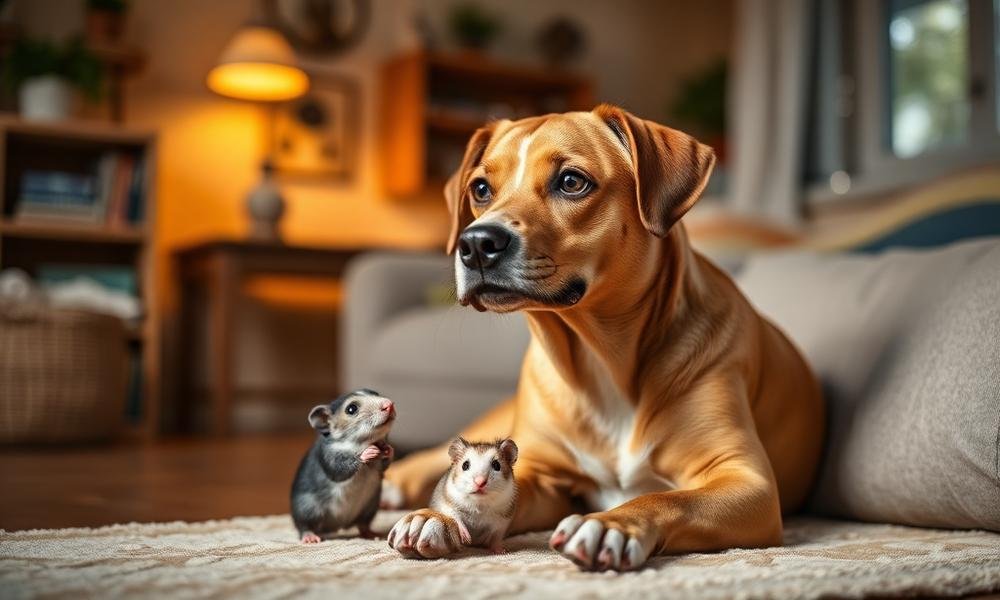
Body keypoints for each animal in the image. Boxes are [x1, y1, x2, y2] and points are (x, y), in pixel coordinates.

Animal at [290, 389, 395, 543]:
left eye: (376, 393)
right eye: (351, 409)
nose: (389, 405)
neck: (356, 443)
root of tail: (336, 526)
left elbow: (383, 467)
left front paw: (387, 449)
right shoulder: (327, 454)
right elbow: (338, 471)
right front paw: (366, 453)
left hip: (370, 506)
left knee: (363, 523)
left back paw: (369, 533)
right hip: (307, 507)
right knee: (304, 525)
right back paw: (309, 535)